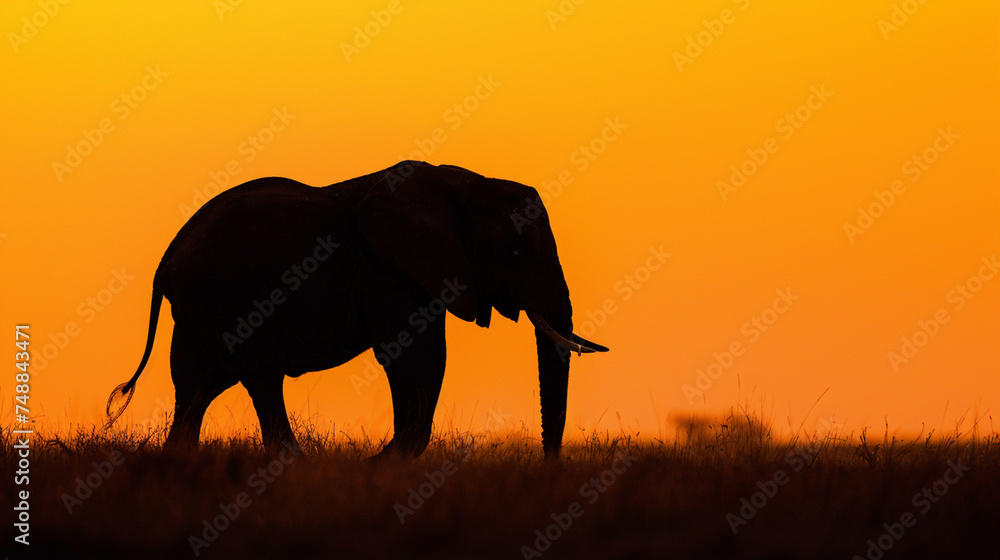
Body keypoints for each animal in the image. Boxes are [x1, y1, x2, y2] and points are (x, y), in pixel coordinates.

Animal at [106, 160, 607, 459]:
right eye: (516, 253)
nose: (548, 463)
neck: (461, 183)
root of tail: (170, 254)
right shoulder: (389, 271)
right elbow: (416, 357)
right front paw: (386, 463)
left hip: (200, 303)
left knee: (198, 382)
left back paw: (180, 460)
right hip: (226, 293)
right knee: (258, 374)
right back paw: (295, 462)